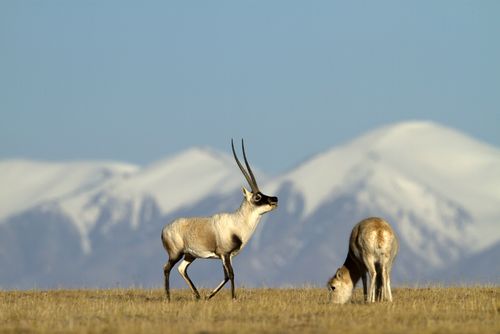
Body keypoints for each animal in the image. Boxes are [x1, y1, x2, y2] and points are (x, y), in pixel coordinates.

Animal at [160, 138, 278, 300]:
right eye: (257, 197)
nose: (275, 199)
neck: (238, 222)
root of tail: (164, 229)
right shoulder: (225, 254)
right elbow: (231, 274)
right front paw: (233, 298)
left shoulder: (229, 256)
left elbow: (226, 276)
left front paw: (209, 295)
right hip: (175, 253)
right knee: (166, 268)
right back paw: (168, 297)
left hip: (189, 255)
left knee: (181, 269)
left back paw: (198, 296)